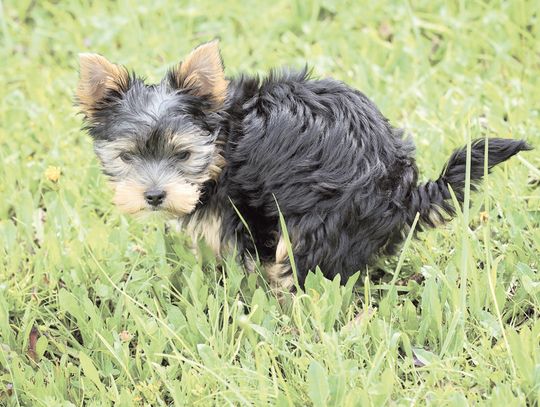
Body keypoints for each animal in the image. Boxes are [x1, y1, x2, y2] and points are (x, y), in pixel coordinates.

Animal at [77, 39, 532, 294]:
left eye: (184, 155)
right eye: (127, 157)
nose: (154, 195)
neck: (225, 138)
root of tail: (404, 192)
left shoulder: (247, 210)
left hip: (320, 222)